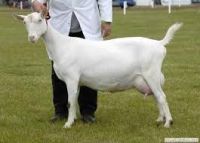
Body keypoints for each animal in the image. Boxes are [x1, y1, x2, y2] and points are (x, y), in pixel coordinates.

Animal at [14, 11, 182, 128]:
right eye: (25, 23)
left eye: (40, 20)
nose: (32, 38)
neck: (61, 45)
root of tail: (159, 44)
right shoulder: (77, 81)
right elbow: (74, 100)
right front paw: (73, 119)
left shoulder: (71, 78)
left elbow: (69, 101)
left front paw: (68, 124)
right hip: (150, 77)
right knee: (156, 96)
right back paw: (160, 119)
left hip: (151, 73)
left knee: (162, 97)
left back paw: (168, 122)